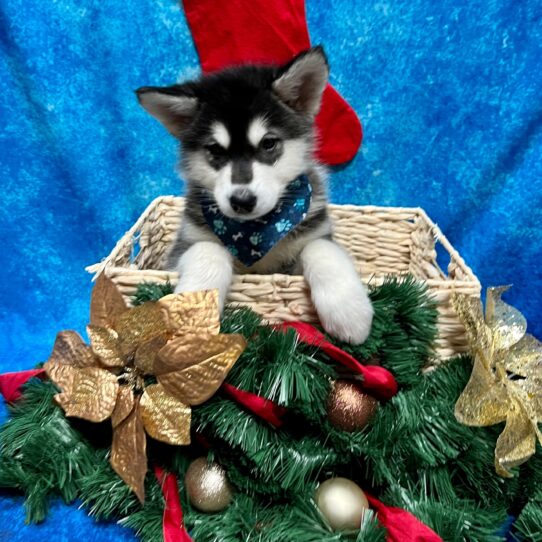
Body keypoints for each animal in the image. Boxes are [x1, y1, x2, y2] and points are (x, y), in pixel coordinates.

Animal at [136, 45, 374, 344]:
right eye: (215, 150)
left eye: (269, 143)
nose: (242, 201)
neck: (256, 232)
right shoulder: (180, 249)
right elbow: (207, 249)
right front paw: (195, 312)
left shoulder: (313, 236)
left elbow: (322, 248)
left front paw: (349, 311)